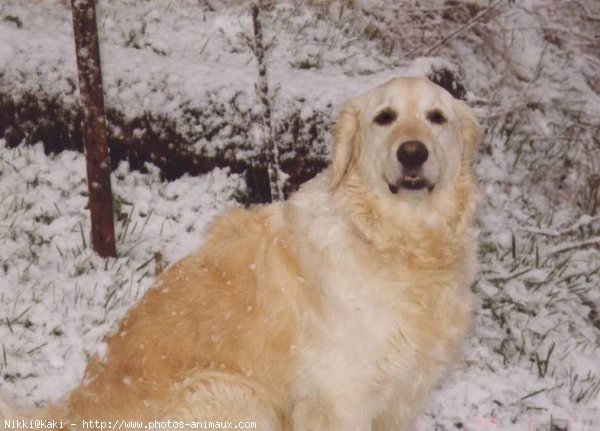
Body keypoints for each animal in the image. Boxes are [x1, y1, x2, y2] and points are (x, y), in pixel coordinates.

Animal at [0, 78, 478, 431]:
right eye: (385, 117)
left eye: (437, 117)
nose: (412, 152)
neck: (393, 241)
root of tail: (70, 413)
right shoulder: (340, 398)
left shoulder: (400, 397)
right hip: (235, 392)